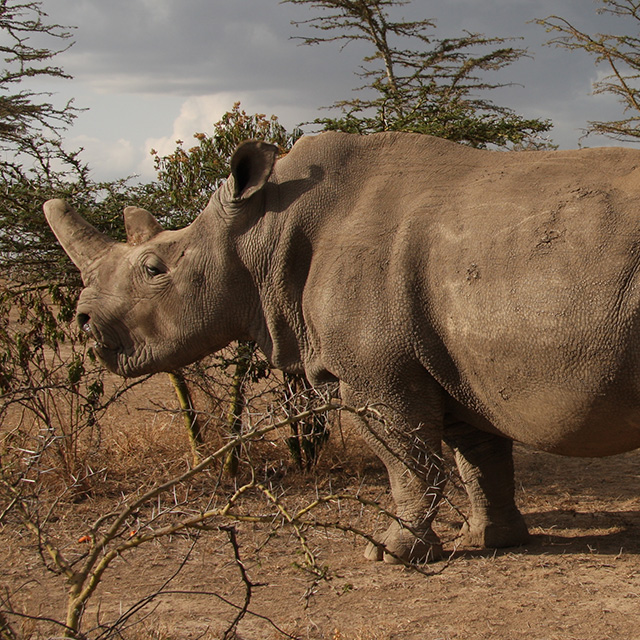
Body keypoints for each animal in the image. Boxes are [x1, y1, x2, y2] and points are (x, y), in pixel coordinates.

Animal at [45, 131, 640, 563]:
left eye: (154, 269)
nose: (83, 321)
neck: (259, 233)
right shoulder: (457, 365)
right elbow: (479, 456)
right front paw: (489, 540)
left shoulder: (377, 375)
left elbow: (406, 460)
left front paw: (391, 554)